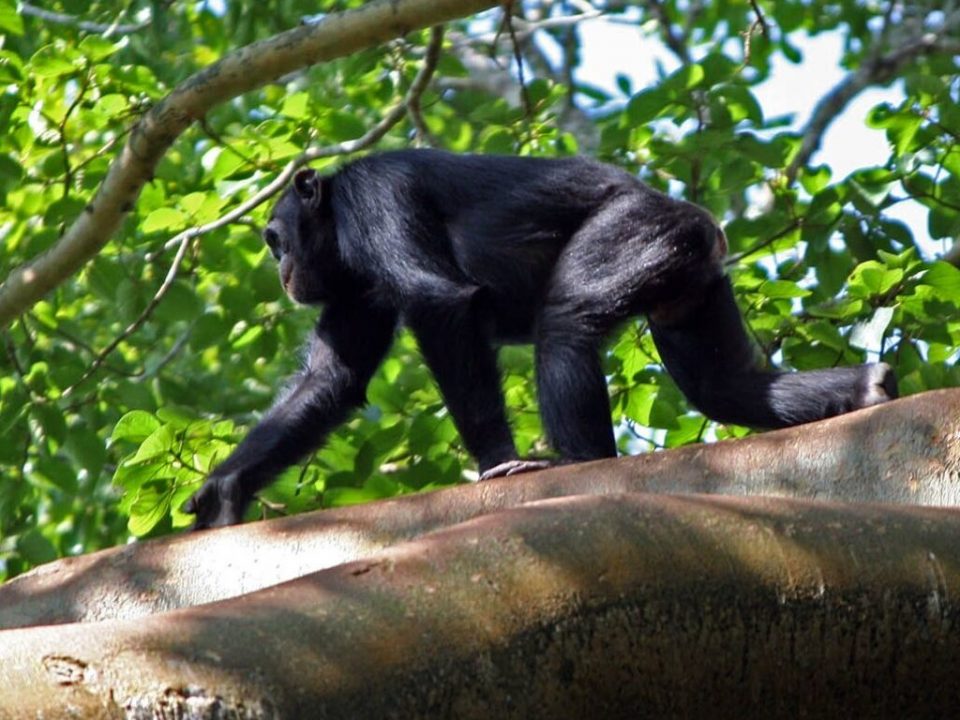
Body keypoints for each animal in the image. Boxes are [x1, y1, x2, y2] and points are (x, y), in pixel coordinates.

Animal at [184, 149, 896, 528]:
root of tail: (700, 220)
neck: (335, 222)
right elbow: (330, 380)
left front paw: (497, 463)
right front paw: (225, 490)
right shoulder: (351, 290)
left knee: (566, 322)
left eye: (274, 236)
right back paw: (867, 386)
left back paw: (577, 463)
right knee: (722, 383)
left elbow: (439, 303)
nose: (280, 265)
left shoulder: (376, 198)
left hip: (635, 232)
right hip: (688, 285)